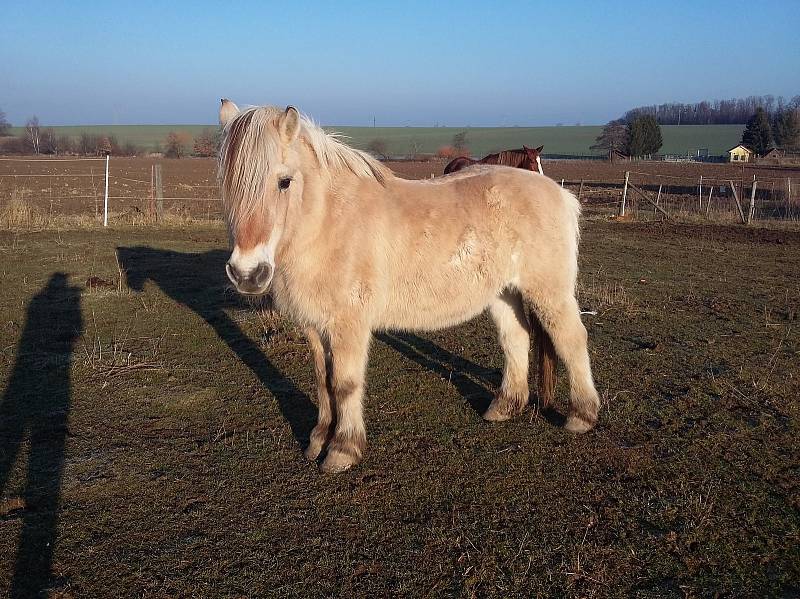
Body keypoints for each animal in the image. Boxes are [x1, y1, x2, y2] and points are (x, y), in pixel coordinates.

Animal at [216, 99, 596, 474]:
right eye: (228, 182)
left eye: (284, 182)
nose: (247, 273)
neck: (329, 222)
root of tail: (560, 193)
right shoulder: (314, 325)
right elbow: (324, 382)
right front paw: (317, 441)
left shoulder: (349, 325)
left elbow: (344, 383)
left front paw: (342, 450)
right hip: (504, 292)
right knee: (515, 338)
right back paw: (504, 407)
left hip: (548, 292)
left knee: (571, 338)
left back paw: (582, 416)